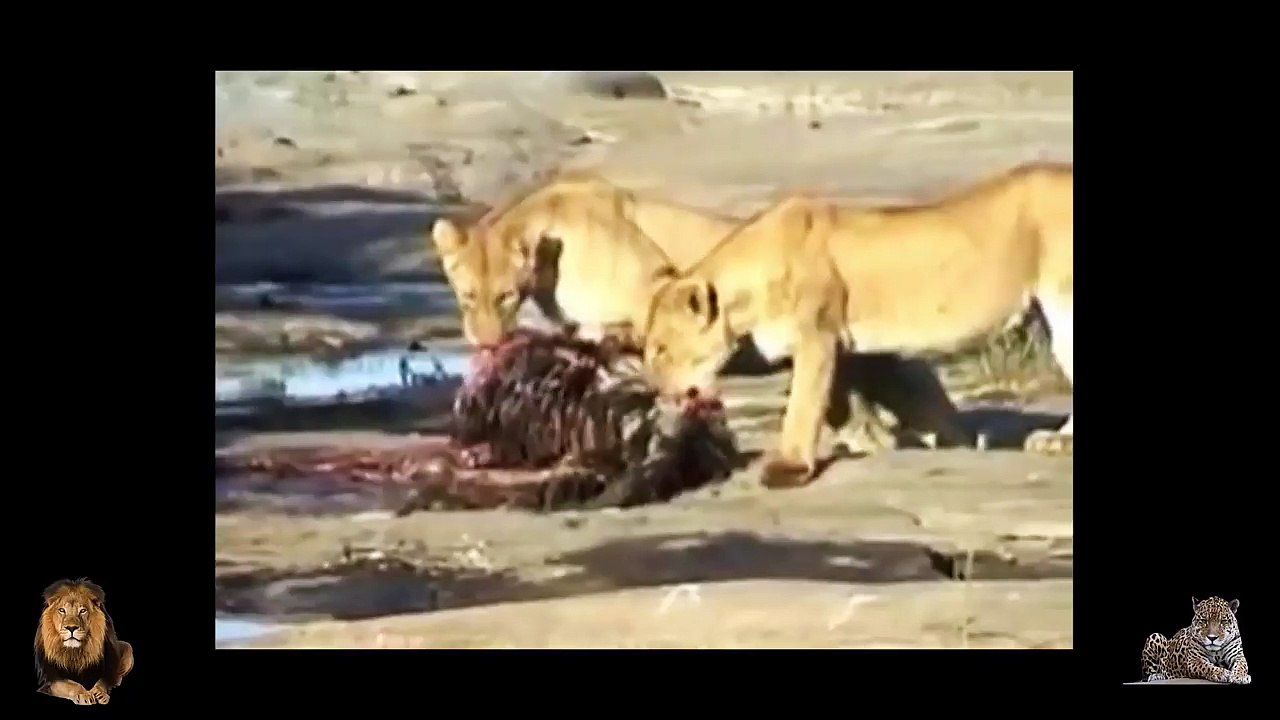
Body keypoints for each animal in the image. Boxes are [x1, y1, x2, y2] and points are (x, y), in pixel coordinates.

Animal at [638, 161, 1074, 488]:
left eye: (660, 350)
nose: (657, 394)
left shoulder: (817, 335)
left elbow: (802, 407)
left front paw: (789, 468)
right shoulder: (832, 346)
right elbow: (838, 404)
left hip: (1064, 301)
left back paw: (1056, 441)